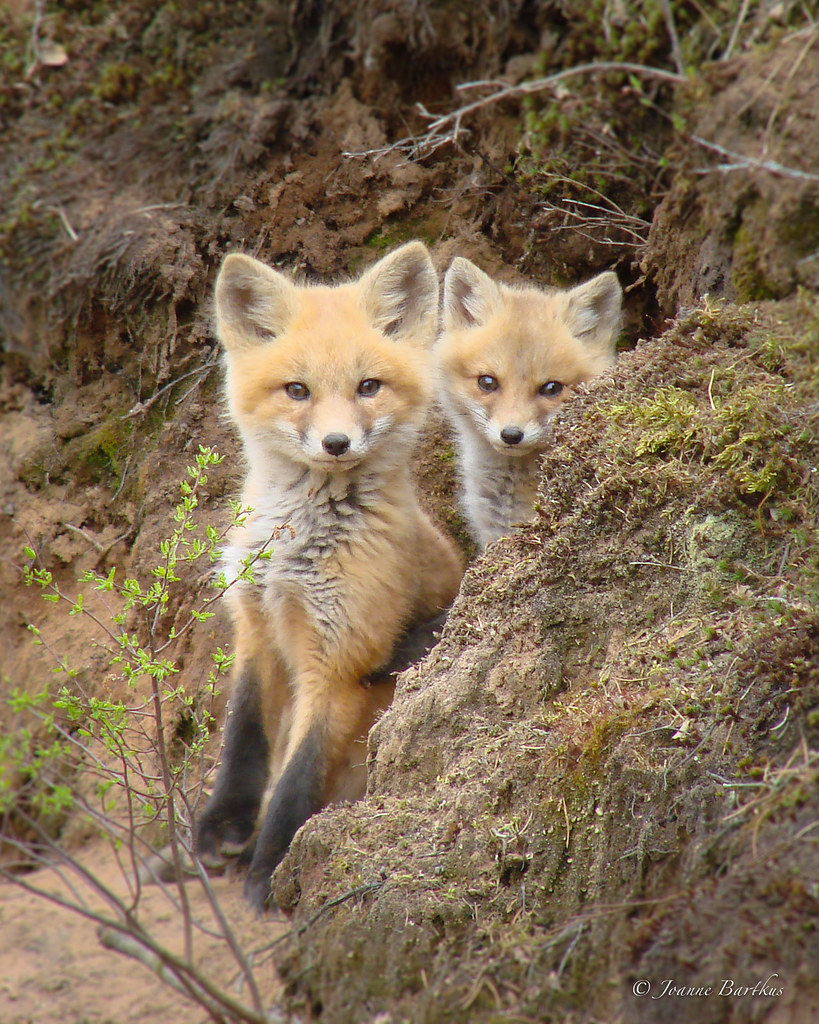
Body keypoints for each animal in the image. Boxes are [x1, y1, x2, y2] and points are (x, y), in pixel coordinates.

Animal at [195, 242, 464, 911]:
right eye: (297, 390)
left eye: (368, 386)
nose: (336, 442)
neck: (295, 550)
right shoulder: (256, 625)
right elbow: (243, 736)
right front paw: (222, 825)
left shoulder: (341, 664)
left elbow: (297, 782)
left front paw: (270, 871)